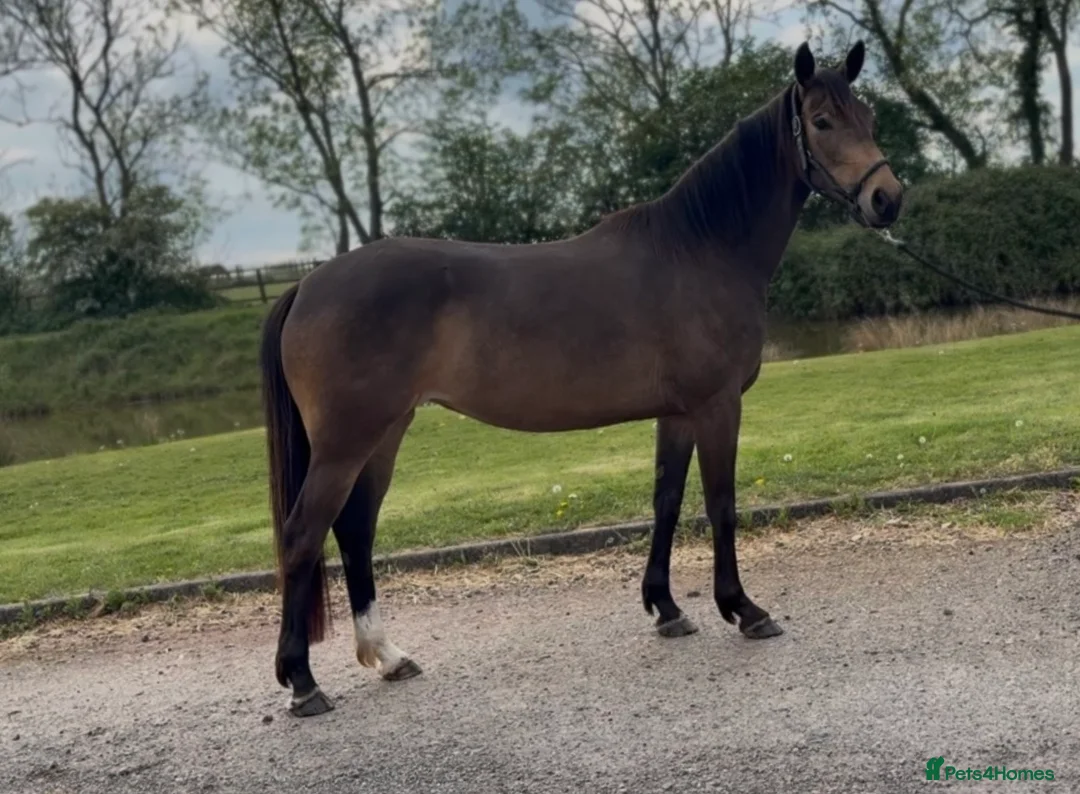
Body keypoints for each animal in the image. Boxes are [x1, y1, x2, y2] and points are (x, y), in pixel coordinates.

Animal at [259, 40, 904, 716]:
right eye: (823, 121)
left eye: (869, 117)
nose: (888, 198)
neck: (699, 250)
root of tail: (307, 283)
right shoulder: (717, 405)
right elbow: (721, 505)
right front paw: (743, 609)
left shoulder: (677, 413)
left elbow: (666, 501)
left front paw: (667, 608)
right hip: (347, 442)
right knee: (303, 535)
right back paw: (303, 682)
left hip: (384, 433)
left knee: (355, 531)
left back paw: (386, 656)